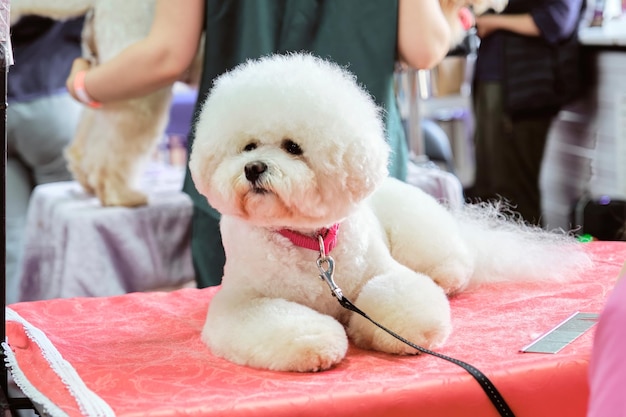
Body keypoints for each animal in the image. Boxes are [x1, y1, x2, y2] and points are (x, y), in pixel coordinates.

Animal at [189, 53, 588, 372]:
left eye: (293, 147)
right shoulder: (243, 303)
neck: (309, 241)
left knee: (449, 261)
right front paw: (317, 342)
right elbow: (281, 319)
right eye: (248, 146)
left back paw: (448, 275)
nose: (253, 168)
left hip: (420, 232)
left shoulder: (381, 272)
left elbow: (398, 295)